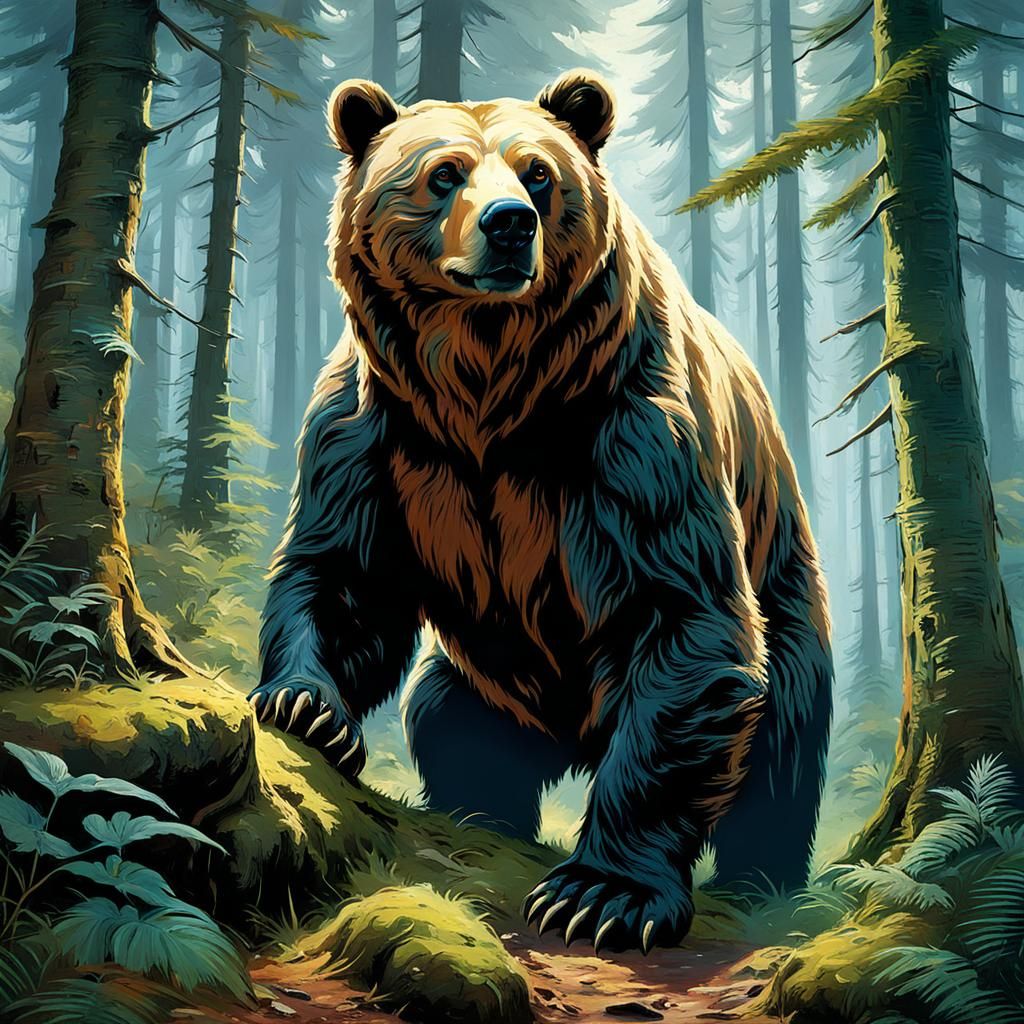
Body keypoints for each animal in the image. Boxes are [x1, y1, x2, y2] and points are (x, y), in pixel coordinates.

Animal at [249, 70, 834, 953]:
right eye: (444, 173)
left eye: (538, 174)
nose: (508, 224)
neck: (489, 388)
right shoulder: (376, 431)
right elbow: (344, 574)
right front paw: (304, 705)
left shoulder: (631, 432)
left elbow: (681, 617)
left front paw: (601, 893)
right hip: (485, 683)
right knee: (449, 723)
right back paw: (481, 809)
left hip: (788, 599)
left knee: (780, 752)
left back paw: (760, 879)